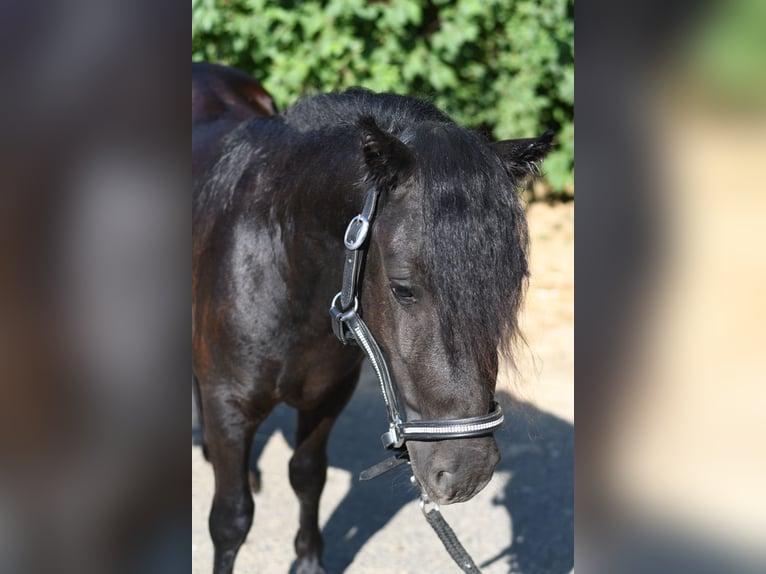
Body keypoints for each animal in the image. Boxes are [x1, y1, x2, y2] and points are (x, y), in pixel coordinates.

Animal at [192, 86, 552, 574]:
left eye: (512, 282)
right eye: (402, 288)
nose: (468, 472)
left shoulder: (327, 396)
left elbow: (308, 476)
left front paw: (309, 561)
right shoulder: (227, 405)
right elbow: (231, 519)